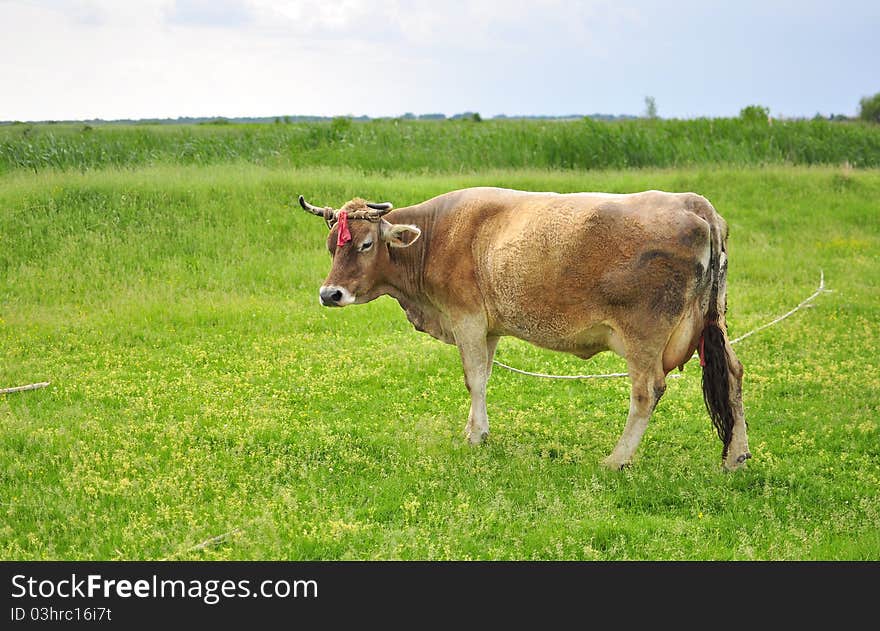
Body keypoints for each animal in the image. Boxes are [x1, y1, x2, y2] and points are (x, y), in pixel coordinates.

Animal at [300, 188, 752, 470]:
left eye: (365, 245)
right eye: (331, 246)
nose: (330, 293)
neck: (437, 234)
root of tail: (695, 205)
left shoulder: (466, 319)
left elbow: (473, 378)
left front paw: (476, 436)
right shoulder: (488, 329)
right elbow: (484, 376)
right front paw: (474, 429)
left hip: (643, 336)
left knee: (647, 392)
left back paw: (617, 459)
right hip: (714, 324)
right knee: (733, 375)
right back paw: (736, 456)